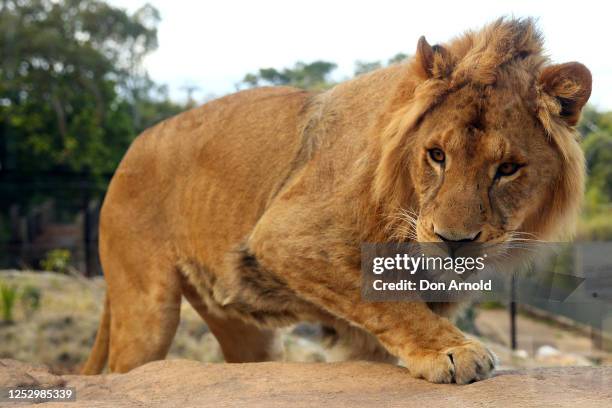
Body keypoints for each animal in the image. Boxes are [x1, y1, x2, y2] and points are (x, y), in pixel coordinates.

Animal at [81, 17, 588, 384]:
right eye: (437, 155)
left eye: (508, 169)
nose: (453, 241)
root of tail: (132, 147)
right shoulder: (283, 236)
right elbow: (387, 295)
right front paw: (454, 351)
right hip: (146, 310)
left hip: (248, 332)